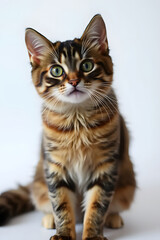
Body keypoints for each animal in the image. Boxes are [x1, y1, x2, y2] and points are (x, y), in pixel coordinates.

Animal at [0, 14, 136, 240]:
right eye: (57, 71)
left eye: (87, 65)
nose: (73, 81)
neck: (77, 120)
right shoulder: (55, 167)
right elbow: (61, 206)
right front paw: (63, 233)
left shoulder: (105, 167)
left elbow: (97, 207)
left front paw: (92, 235)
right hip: (39, 182)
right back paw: (49, 219)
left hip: (127, 184)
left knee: (112, 207)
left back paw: (114, 218)